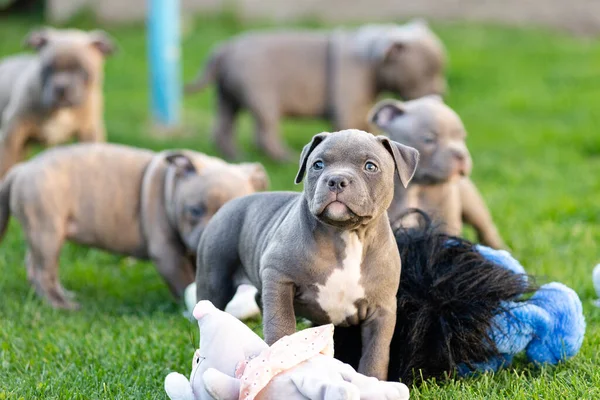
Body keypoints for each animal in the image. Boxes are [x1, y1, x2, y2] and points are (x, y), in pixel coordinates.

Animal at [0, 28, 116, 178]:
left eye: (81, 69)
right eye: (48, 68)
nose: (61, 88)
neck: (62, 110)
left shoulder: (89, 132)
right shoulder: (12, 135)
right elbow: (5, 164)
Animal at [0, 143, 268, 310]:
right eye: (195, 211)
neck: (171, 185)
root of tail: (20, 169)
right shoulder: (167, 253)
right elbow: (184, 280)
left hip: (43, 234)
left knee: (34, 266)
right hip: (47, 232)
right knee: (43, 271)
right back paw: (61, 305)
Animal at [195, 130, 420, 380]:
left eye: (370, 166)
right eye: (318, 164)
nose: (336, 180)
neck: (345, 234)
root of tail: (230, 204)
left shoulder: (382, 310)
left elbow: (376, 352)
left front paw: (373, 381)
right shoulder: (279, 278)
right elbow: (280, 325)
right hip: (215, 277)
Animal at [368, 95, 504, 248]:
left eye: (463, 137)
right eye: (429, 140)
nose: (461, 155)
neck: (417, 186)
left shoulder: (445, 223)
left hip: (474, 205)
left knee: (486, 228)